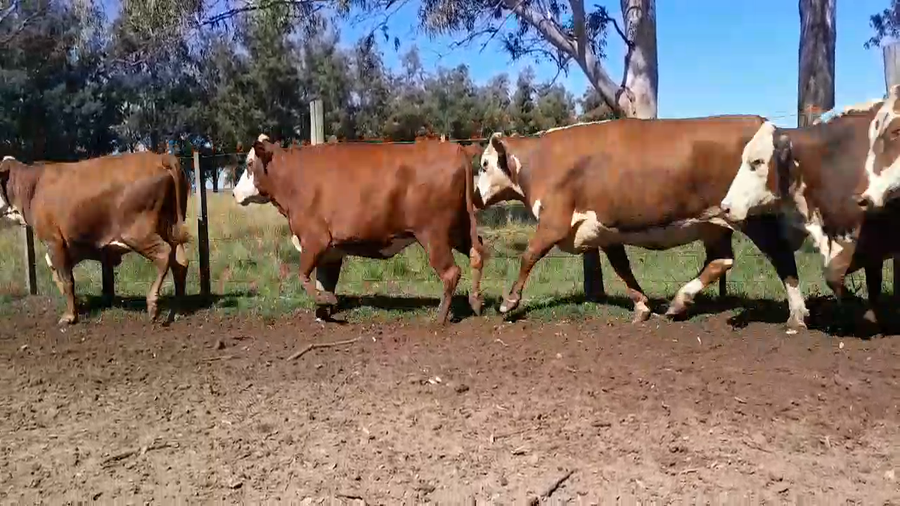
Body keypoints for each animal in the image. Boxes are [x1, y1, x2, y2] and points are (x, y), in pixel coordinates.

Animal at [0, 152, 190, 325]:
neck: (32, 186)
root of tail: (161, 157)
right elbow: (57, 273)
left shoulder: (54, 241)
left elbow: (66, 278)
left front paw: (70, 316)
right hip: (170, 228)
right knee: (180, 262)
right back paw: (179, 309)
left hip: (137, 233)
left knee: (164, 255)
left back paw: (153, 304)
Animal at [231, 135, 487, 325]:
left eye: (249, 164)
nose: (234, 193)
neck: (293, 180)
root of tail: (456, 149)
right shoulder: (331, 250)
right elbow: (323, 280)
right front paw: (323, 311)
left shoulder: (314, 239)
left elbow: (303, 276)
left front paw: (328, 300)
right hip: (459, 229)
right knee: (478, 253)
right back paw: (475, 301)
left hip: (433, 235)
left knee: (451, 272)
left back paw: (440, 317)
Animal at [476, 117, 810, 329]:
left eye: (484, 164)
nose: (476, 198)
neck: (542, 161)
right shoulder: (605, 230)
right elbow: (622, 268)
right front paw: (642, 306)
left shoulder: (553, 222)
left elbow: (528, 255)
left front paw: (509, 302)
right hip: (714, 222)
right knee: (721, 259)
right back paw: (678, 303)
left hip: (753, 216)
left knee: (780, 255)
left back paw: (796, 314)